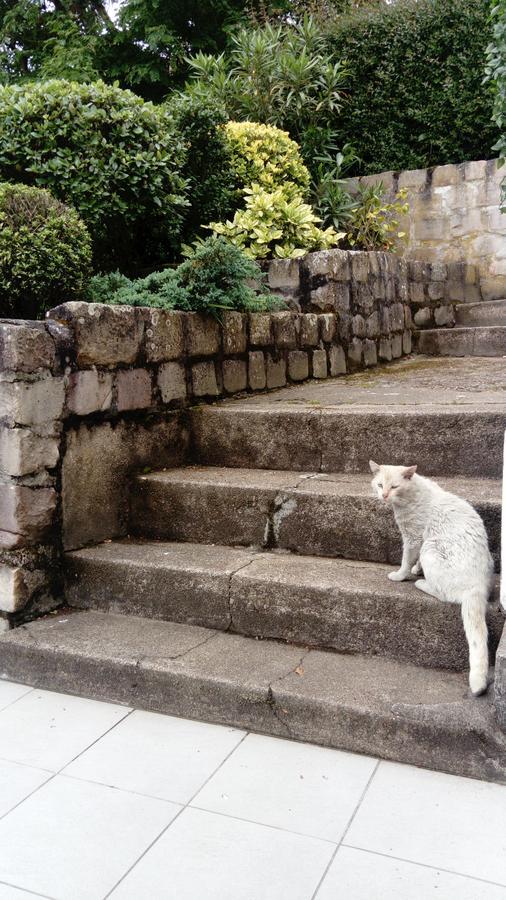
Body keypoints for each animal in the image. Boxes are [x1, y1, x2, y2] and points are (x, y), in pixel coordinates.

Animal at [368, 458, 494, 696]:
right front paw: (416, 569)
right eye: (380, 485)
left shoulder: (414, 539)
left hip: (430, 548)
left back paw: (421, 583)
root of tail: (478, 585)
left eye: (394, 487)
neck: (409, 497)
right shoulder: (416, 540)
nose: (384, 495)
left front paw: (401, 575)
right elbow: (414, 562)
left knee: (445, 594)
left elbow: (406, 560)